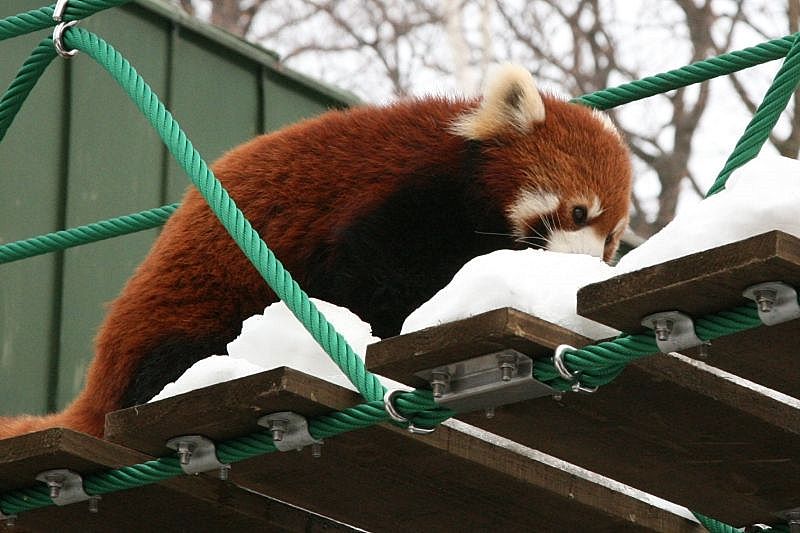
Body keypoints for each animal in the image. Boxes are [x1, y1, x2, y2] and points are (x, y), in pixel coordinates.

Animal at [0, 63, 632, 436]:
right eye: (579, 212)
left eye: (610, 242)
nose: (580, 265)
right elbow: (371, 277)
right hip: (183, 316)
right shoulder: (406, 199)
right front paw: (388, 330)